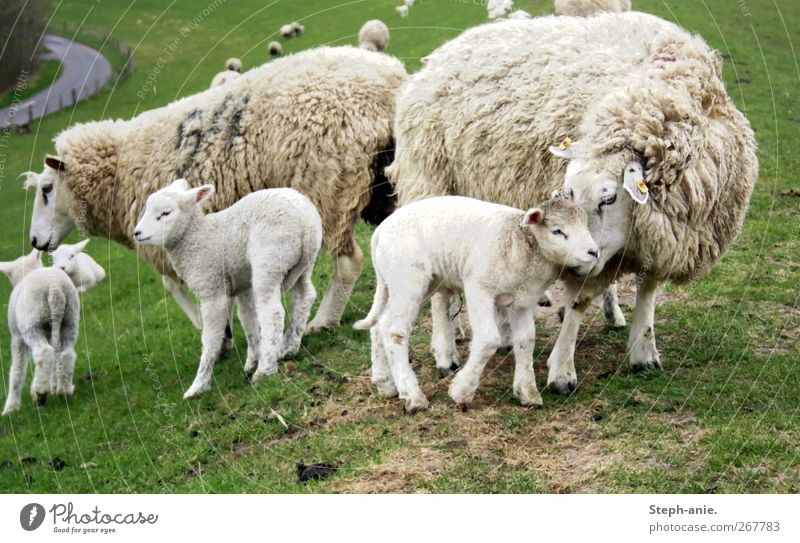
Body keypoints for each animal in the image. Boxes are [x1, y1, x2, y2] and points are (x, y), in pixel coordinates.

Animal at [0, 251, 79, 416]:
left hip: (32, 323)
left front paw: (10, 407)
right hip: (70, 319)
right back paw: (64, 390)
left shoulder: (17, 337)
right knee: (66, 354)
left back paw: (40, 393)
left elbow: (17, 370)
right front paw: (53, 386)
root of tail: (55, 290)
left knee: (45, 352)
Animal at [26, 46, 406, 334]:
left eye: (47, 189)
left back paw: (323, 320)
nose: (34, 241)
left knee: (349, 260)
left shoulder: (174, 234)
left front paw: (215, 330)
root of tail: (388, 83)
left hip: (326, 186)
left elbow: (173, 285)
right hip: (381, 182)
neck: (118, 168)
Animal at [134, 181, 322, 398]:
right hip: (306, 261)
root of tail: (306, 221)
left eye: (165, 213)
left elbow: (210, 337)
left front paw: (198, 386)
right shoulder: (241, 284)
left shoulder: (212, 290)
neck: (196, 237)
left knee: (272, 313)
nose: (137, 233)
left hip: (269, 259)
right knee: (304, 296)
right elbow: (248, 320)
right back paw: (288, 348)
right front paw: (251, 360)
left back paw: (265, 369)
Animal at [354, 193, 596, 410]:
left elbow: (526, 341)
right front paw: (462, 391)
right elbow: (489, 339)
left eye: (586, 226)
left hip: (401, 282)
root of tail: (379, 232)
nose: (593, 252)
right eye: (557, 231)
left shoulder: (522, 301)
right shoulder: (479, 289)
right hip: (408, 280)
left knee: (379, 325)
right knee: (393, 330)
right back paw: (412, 396)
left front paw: (527, 393)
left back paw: (385, 383)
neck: (522, 243)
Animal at [390, 12, 760, 396]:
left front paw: (643, 351)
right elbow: (580, 300)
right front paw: (561, 370)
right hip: (430, 183)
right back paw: (446, 351)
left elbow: (648, 289)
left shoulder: (659, 237)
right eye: (566, 190)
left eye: (608, 197)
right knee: (439, 287)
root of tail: (438, 56)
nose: (575, 265)